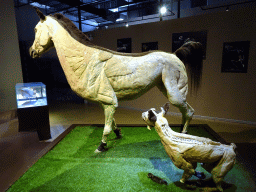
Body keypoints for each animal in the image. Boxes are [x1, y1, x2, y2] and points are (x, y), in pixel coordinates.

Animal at [29, 6, 203, 152]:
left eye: (36, 29)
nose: (31, 52)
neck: (86, 59)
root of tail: (176, 54)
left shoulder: (110, 101)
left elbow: (106, 127)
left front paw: (101, 146)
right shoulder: (105, 101)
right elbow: (111, 122)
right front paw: (118, 133)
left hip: (175, 93)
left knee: (189, 111)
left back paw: (184, 134)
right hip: (165, 88)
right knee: (186, 111)